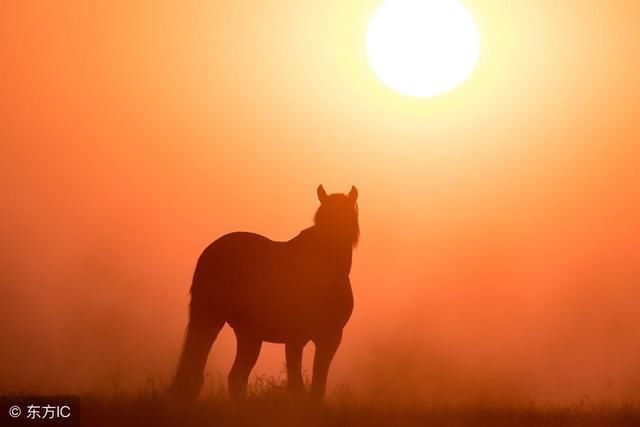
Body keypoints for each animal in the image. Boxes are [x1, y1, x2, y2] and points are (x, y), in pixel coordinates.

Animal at [170, 185, 360, 402]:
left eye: (347, 217)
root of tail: (210, 252)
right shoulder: (296, 338)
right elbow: (296, 383)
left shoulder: (330, 338)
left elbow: (318, 383)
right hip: (210, 318)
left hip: (247, 333)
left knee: (233, 375)